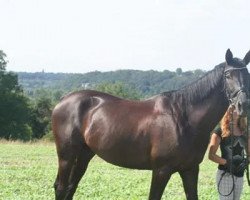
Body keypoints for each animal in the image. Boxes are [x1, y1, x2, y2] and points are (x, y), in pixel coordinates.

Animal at [52, 48, 250, 200]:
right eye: (228, 75)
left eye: (247, 74)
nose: (243, 105)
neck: (184, 118)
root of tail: (63, 100)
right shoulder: (161, 171)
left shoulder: (190, 169)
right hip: (66, 155)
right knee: (61, 188)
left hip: (84, 154)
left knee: (70, 187)